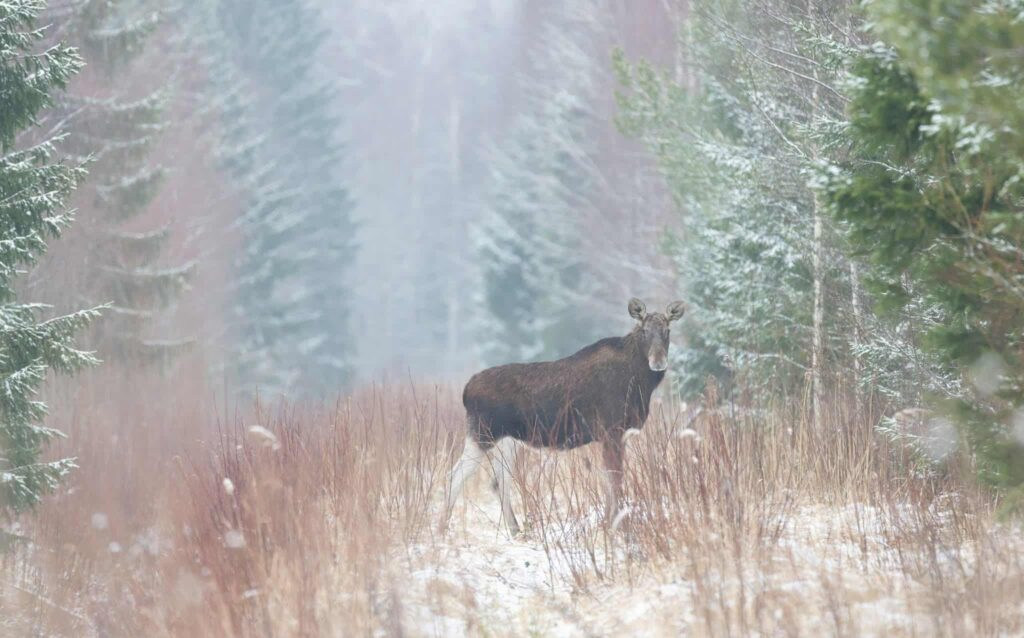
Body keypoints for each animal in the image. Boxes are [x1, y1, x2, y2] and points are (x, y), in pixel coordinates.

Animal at [440, 297, 686, 535]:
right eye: (644, 330)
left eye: (667, 330)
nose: (658, 362)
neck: (640, 382)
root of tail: (466, 390)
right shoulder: (611, 431)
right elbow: (615, 479)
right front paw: (617, 527)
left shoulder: (616, 435)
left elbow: (610, 480)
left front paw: (609, 524)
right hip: (482, 434)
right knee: (454, 476)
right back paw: (442, 529)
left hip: (507, 440)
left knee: (500, 481)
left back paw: (516, 529)